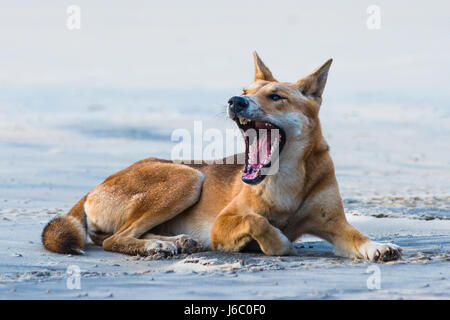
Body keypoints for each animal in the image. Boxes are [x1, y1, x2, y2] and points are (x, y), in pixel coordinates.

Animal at [42, 52, 400, 262]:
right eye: (244, 92)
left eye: (276, 97)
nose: (235, 101)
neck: (288, 179)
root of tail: (95, 187)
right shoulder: (223, 224)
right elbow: (259, 222)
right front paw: (277, 242)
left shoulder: (334, 224)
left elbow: (357, 236)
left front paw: (376, 246)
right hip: (188, 177)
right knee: (114, 239)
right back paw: (157, 245)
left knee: (115, 236)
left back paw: (175, 241)